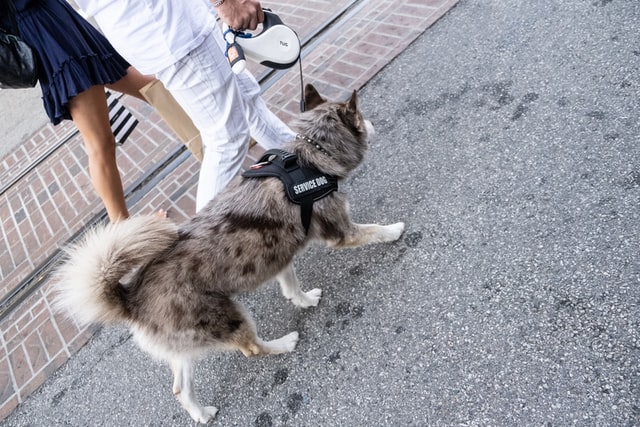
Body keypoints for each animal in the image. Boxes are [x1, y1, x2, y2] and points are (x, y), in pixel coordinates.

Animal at [55, 84, 404, 424]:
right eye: (361, 117)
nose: (372, 124)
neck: (310, 156)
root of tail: (132, 298)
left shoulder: (278, 252)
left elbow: (290, 284)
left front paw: (303, 300)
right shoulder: (341, 233)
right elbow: (374, 231)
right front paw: (395, 230)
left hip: (189, 343)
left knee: (180, 388)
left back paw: (201, 414)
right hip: (229, 318)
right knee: (251, 349)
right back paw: (283, 343)